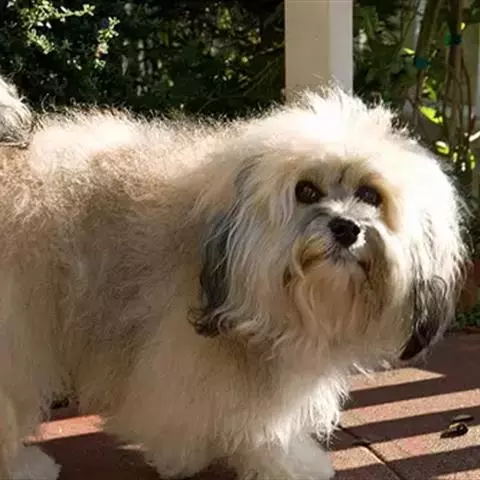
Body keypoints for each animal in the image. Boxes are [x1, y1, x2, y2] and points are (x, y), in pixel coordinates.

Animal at [0, 74, 467, 480]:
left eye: (371, 195)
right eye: (306, 191)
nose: (347, 228)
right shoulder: (184, 351)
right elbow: (247, 422)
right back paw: (24, 467)